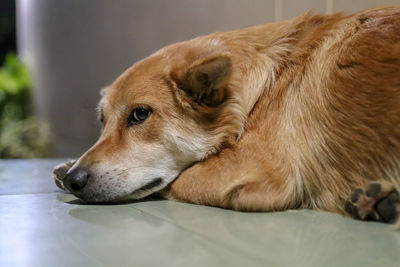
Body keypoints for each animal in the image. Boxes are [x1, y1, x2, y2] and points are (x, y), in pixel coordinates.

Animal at [54, 6, 400, 224]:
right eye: (102, 121)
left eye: (140, 114)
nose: (74, 180)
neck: (261, 88)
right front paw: (67, 165)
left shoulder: (254, 169)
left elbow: (177, 181)